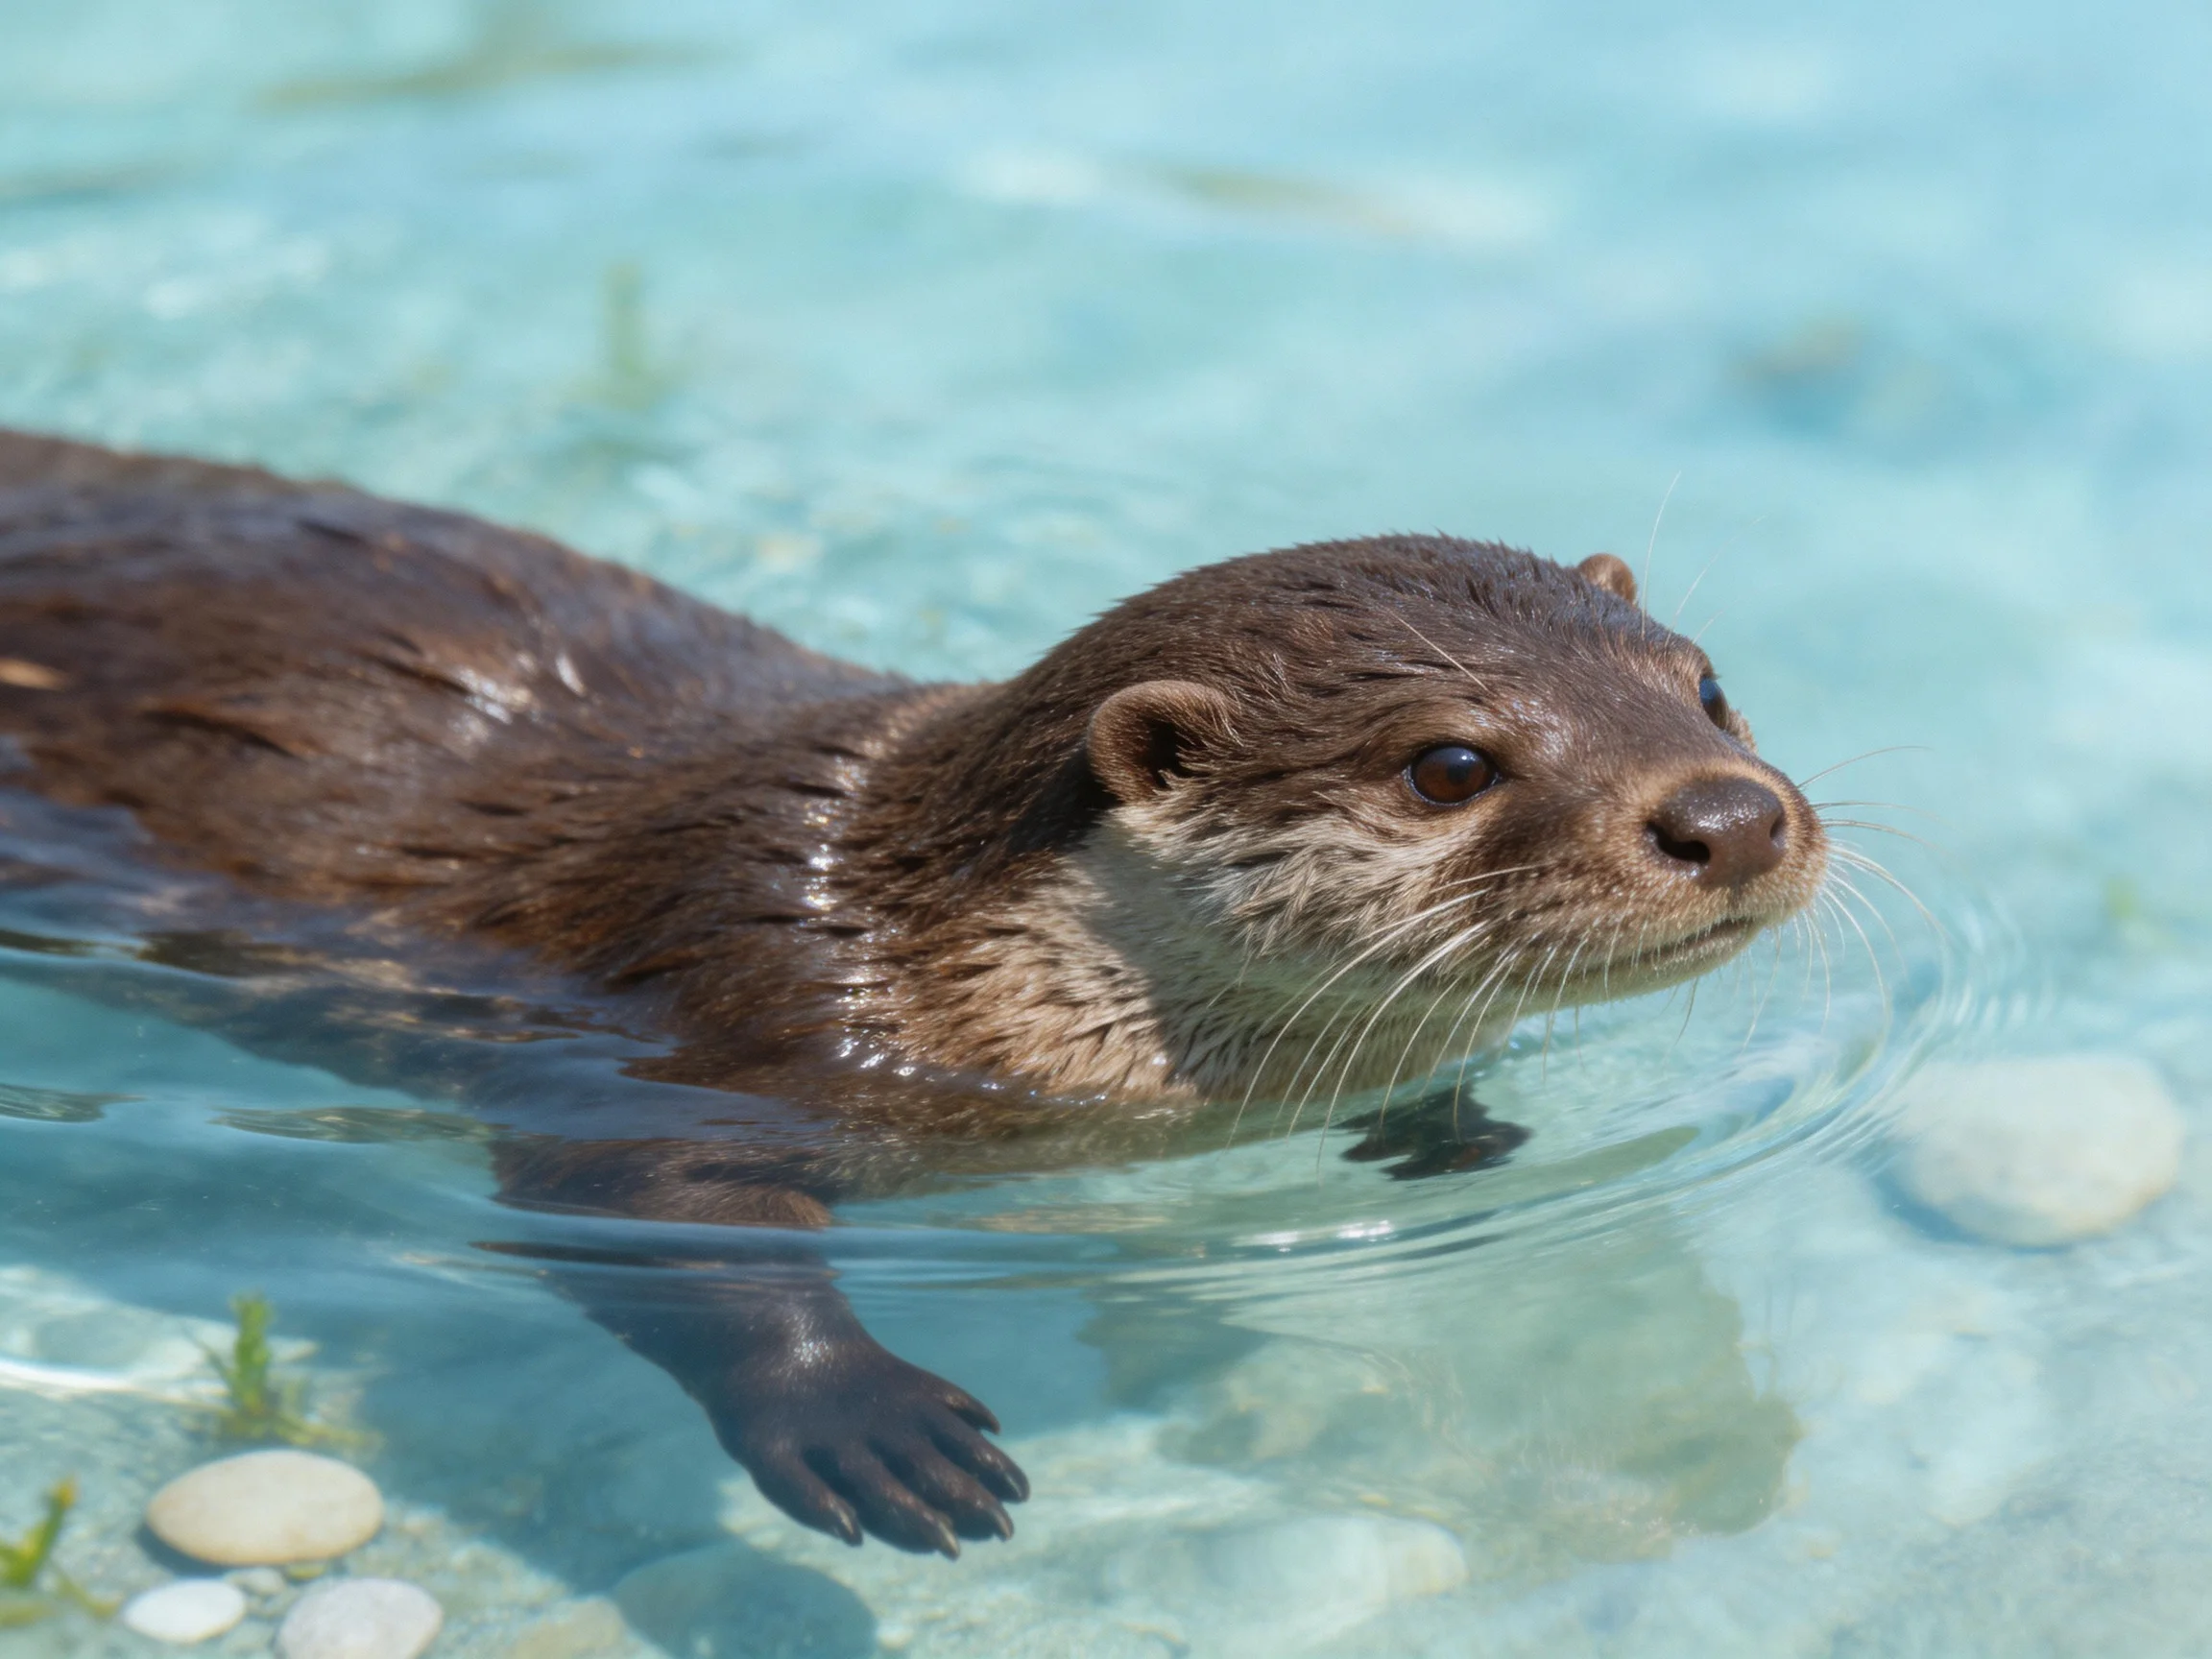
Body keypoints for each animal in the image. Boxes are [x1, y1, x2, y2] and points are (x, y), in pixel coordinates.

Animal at [0, 429, 1826, 1557]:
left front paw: (1448, 1126)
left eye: (1705, 686)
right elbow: (638, 1213)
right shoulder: (720, 1007)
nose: (1730, 813)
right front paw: (866, 1424)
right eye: (1448, 764)